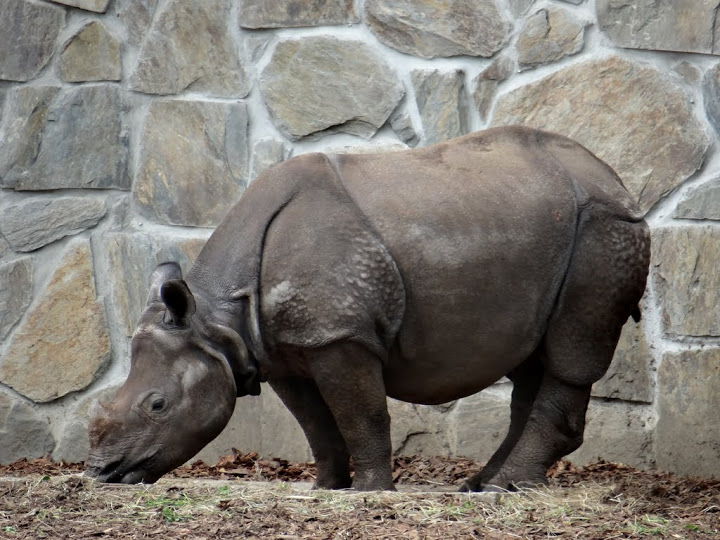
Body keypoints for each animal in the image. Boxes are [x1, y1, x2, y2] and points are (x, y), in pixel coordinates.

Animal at [86, 126, 650, 491]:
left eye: (158, 405)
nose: (101, 472)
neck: (215, 318)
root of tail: (620, 183)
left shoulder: (339, 334)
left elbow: (362, 413)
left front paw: (371, 491)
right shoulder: (279, 349)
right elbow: (316, 424)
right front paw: (326, 488)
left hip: (603, 228)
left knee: (572, 349)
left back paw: (505, 489)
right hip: (541, 235)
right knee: (531, 359)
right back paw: (480, 484)